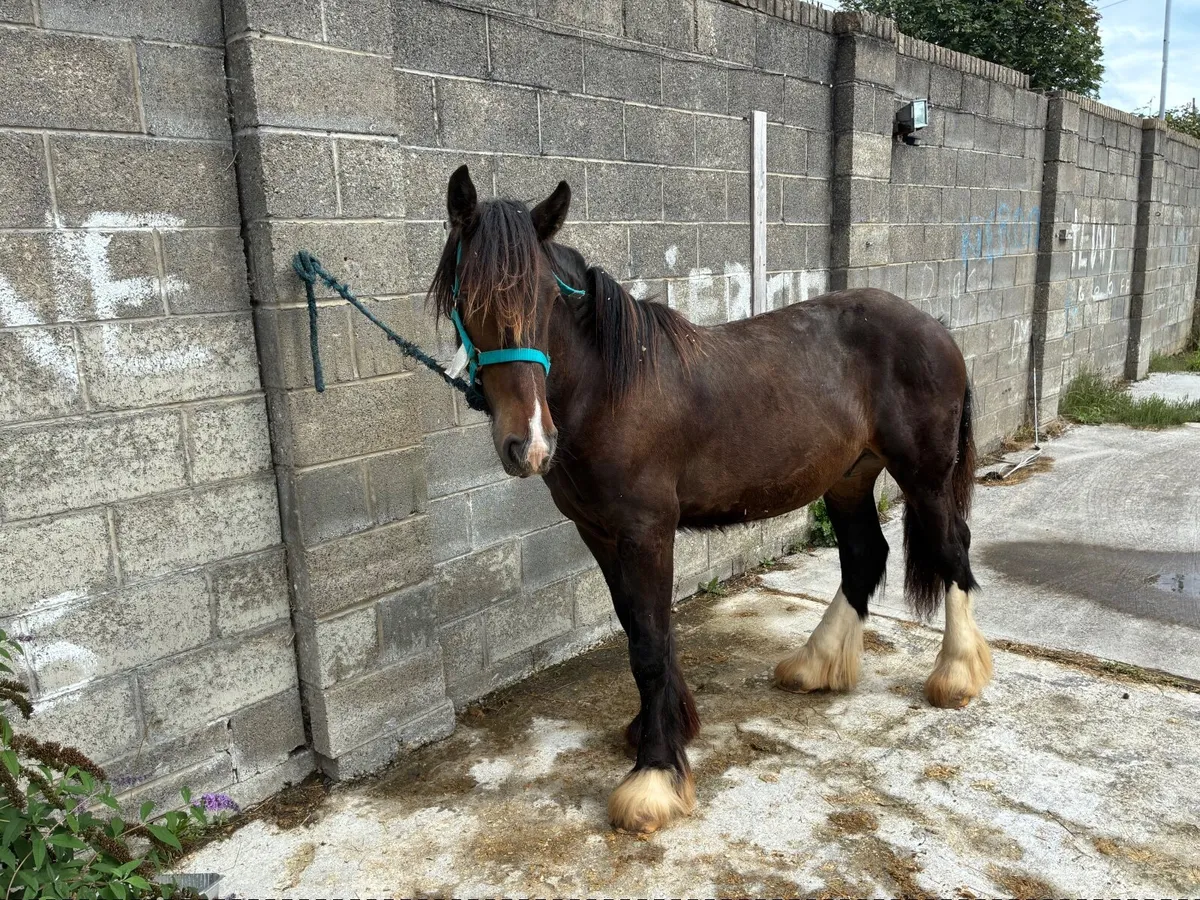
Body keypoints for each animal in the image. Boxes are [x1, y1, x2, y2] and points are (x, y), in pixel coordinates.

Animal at [429, 165, 992, 835]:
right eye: (467, 298)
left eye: (546, 299)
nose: (531, 445)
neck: (611, 387)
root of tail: (936, 328)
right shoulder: (600, 533)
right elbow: (636, 628)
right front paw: (664, 730)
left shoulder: (647, 530)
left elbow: (649, 643)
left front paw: (653, 778)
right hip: (849, 478)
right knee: (864, 555)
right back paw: (816, 664)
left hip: (925, 477)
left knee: (952, 549)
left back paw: (956, 676)